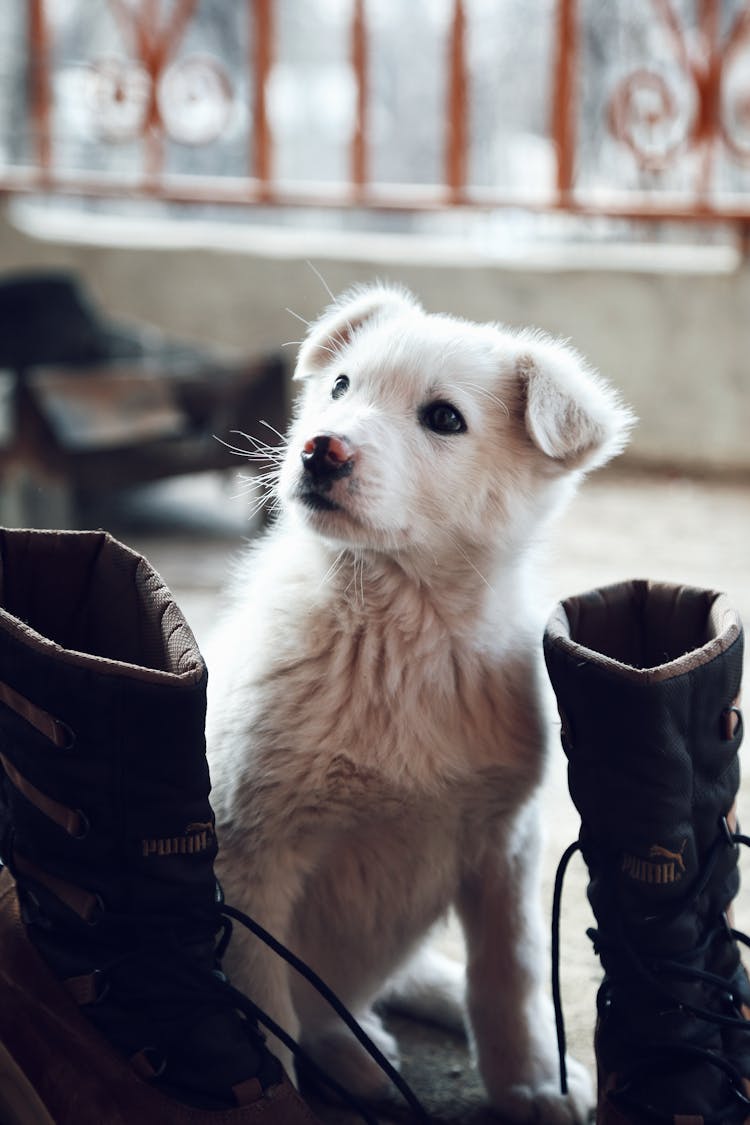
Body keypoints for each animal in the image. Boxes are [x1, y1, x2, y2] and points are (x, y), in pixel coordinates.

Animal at [205, 285, 634, 1120]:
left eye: (443, 418)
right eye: (341, 386)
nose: (321, 449)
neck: (395, 631)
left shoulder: (504, 841)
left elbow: (507, 973)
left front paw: (532, 1081)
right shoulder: (248, 854)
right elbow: (262, 1010)